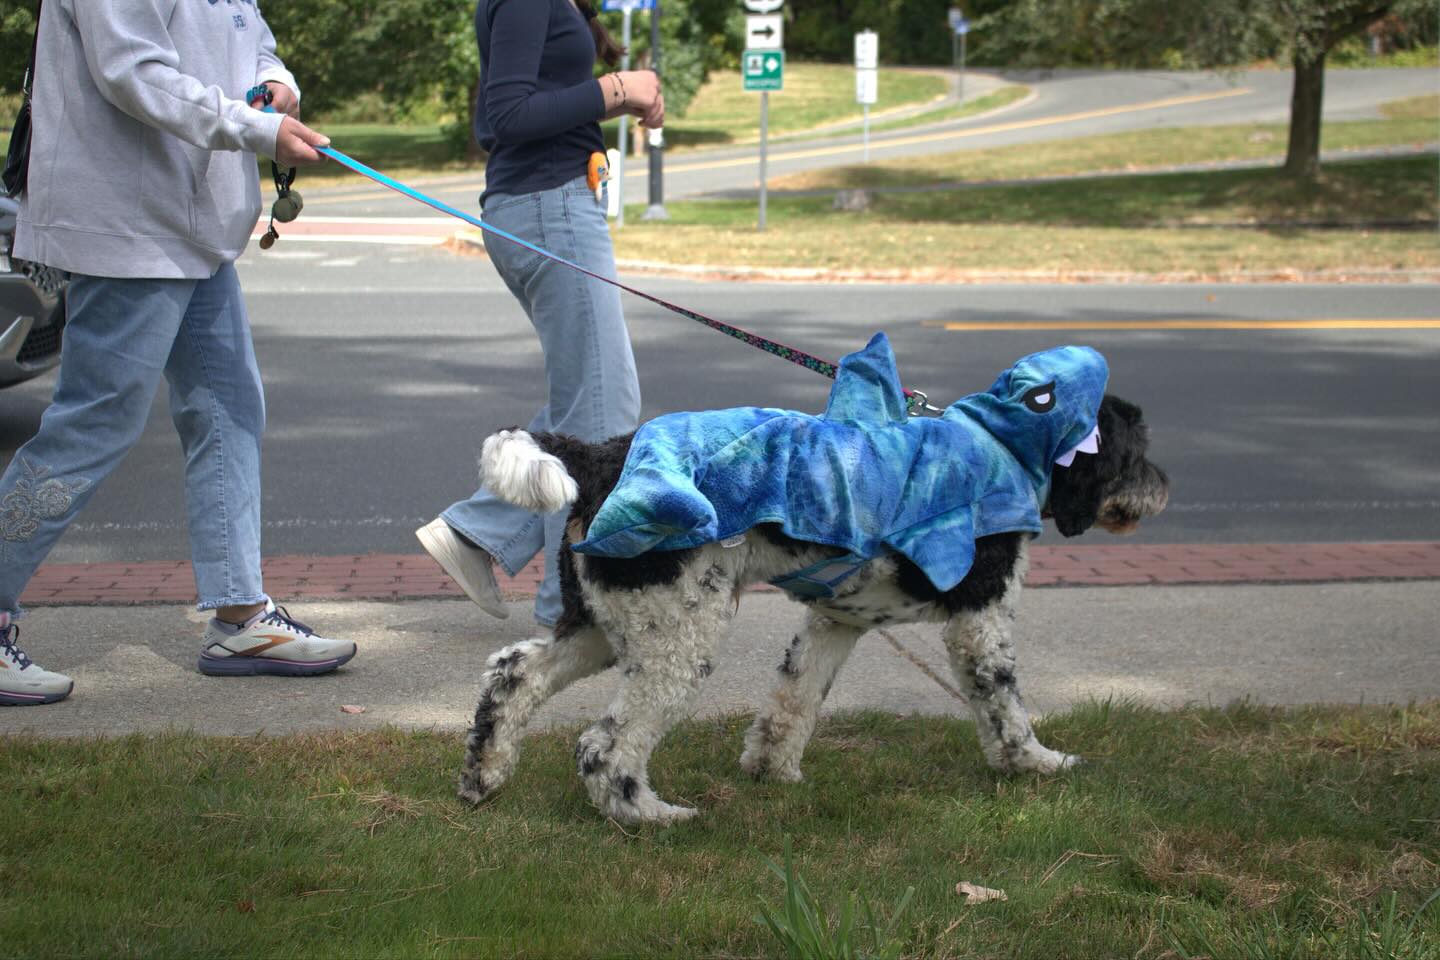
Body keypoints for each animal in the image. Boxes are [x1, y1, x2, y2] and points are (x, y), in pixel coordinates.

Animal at [456, 338, 1169, 824]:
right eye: (1136, 449)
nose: (1162, 487)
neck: (1004, 447)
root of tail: (598, 455)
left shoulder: (836, 621)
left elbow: (793, 703)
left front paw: (772, 773)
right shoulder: (980, 622)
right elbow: (1006, 709)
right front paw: (1037, 765)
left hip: (607, 622)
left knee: (513, 675)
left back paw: (483, 778)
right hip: (675, 639)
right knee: (604, 745)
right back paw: (647, 815)